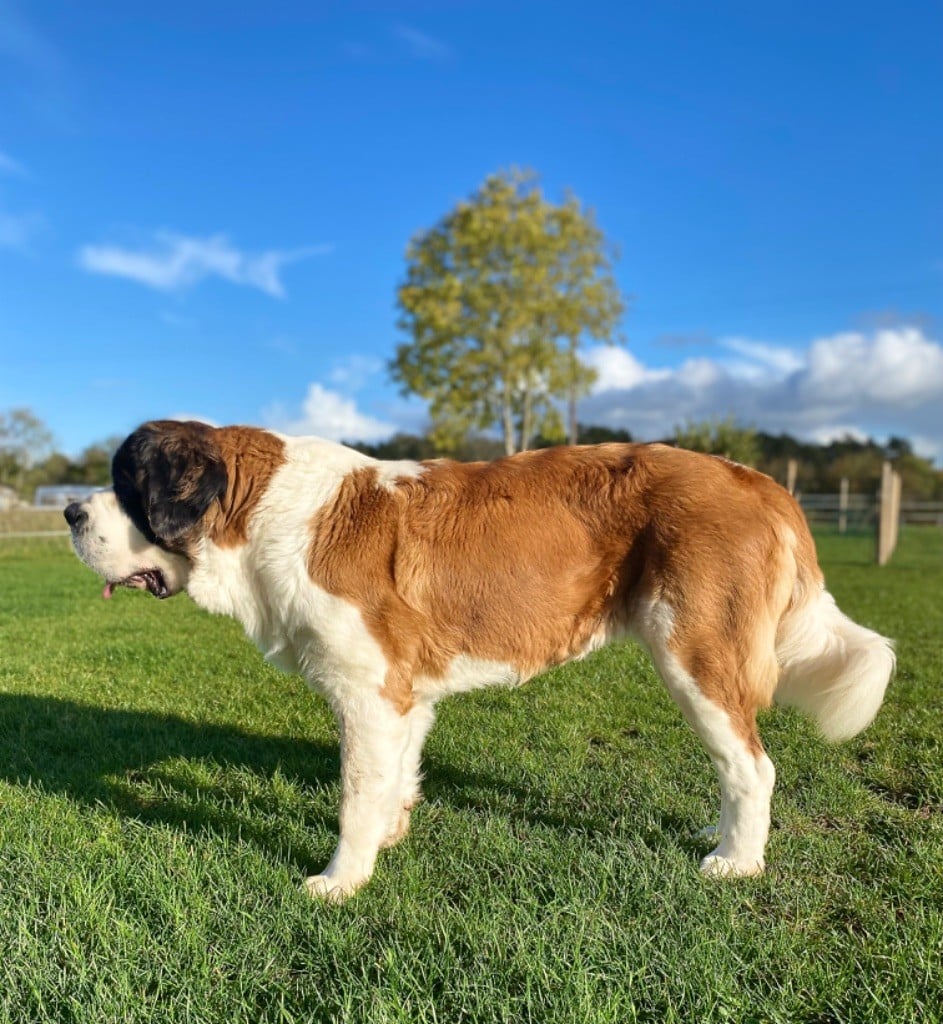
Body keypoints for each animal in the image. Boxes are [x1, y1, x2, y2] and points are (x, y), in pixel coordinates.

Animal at [65, 419, 894, 900]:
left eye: (127, 484)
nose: (70, 511)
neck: (262, 508)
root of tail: (752, 479)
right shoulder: (402, 692)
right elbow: (394, 776)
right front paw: (390, 837)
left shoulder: (366, 691)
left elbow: (355, 792)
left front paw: (340, 880)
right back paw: (716, 838)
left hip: (694, 654)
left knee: (750, 765)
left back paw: (736, 861)